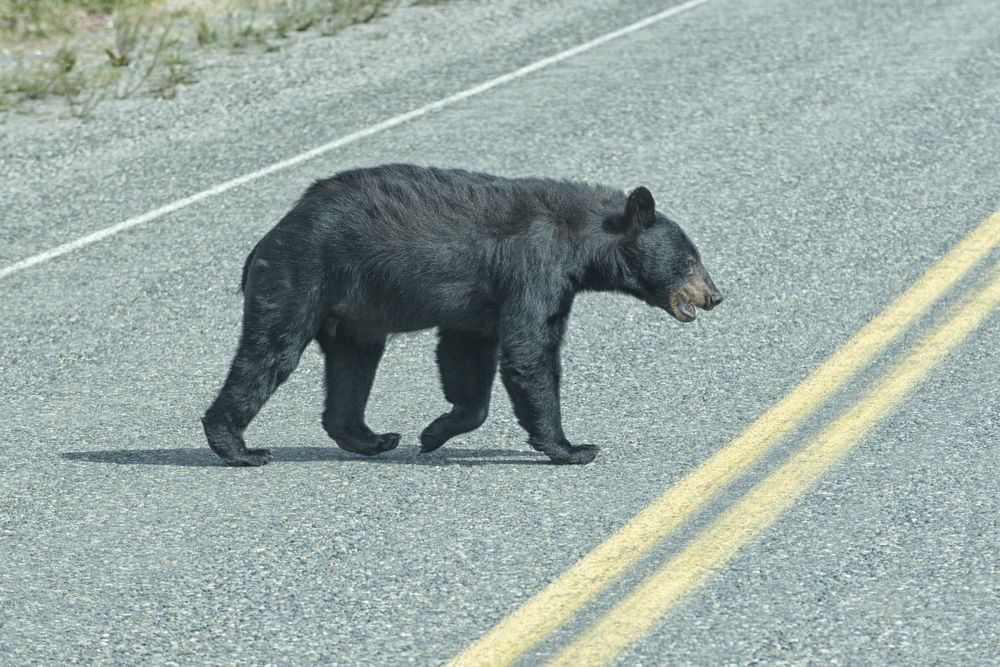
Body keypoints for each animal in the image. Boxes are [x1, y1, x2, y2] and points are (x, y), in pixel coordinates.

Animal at [202, 164, 722, 467]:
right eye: (689, 259)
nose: (715, 295)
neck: (581, 240)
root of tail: (268, 236)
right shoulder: (536, 268)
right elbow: (529, 349)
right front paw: (573, 447)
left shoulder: (483, 302)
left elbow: (466, 355)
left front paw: (434, 433)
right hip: (301, 276)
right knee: (270, 351)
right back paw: (238, 447)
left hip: (354, 314)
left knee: (353, 363)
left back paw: (372, 438)